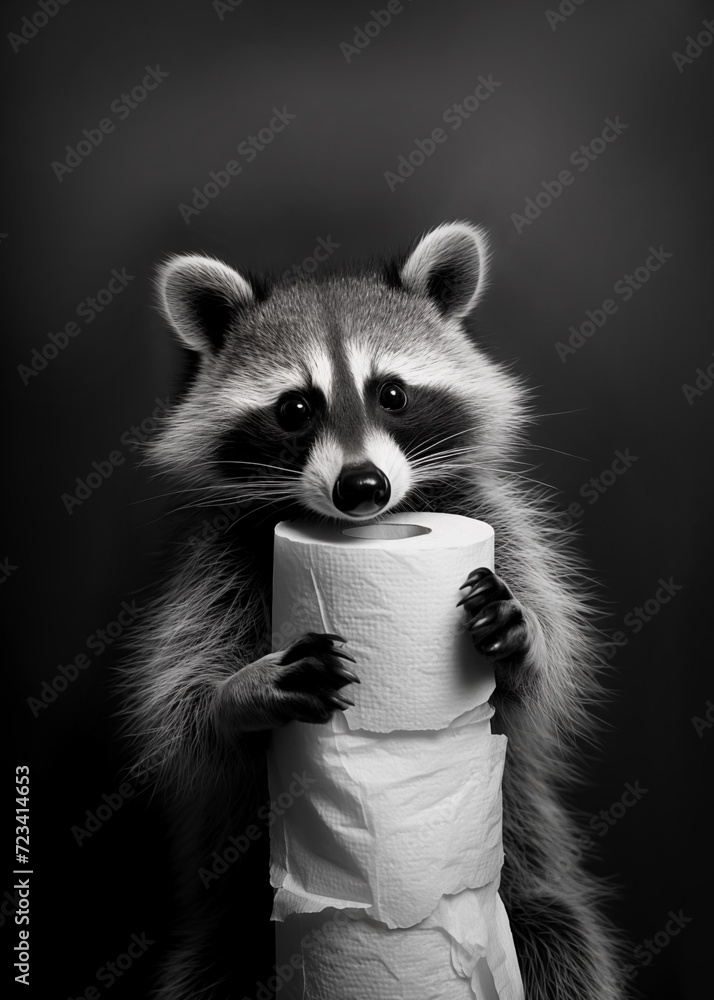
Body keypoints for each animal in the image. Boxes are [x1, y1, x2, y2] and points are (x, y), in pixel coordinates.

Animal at [126, 223, 624, 999]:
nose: (362, 487)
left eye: (392, 393)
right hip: (235, 931)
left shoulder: (495, 521)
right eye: (295, 408)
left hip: (530, 885)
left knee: (561, 941)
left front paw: (528, 641)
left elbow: (542, 682)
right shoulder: (215, 563)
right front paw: (241, 692)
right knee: (215, 968)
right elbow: (185, 713)